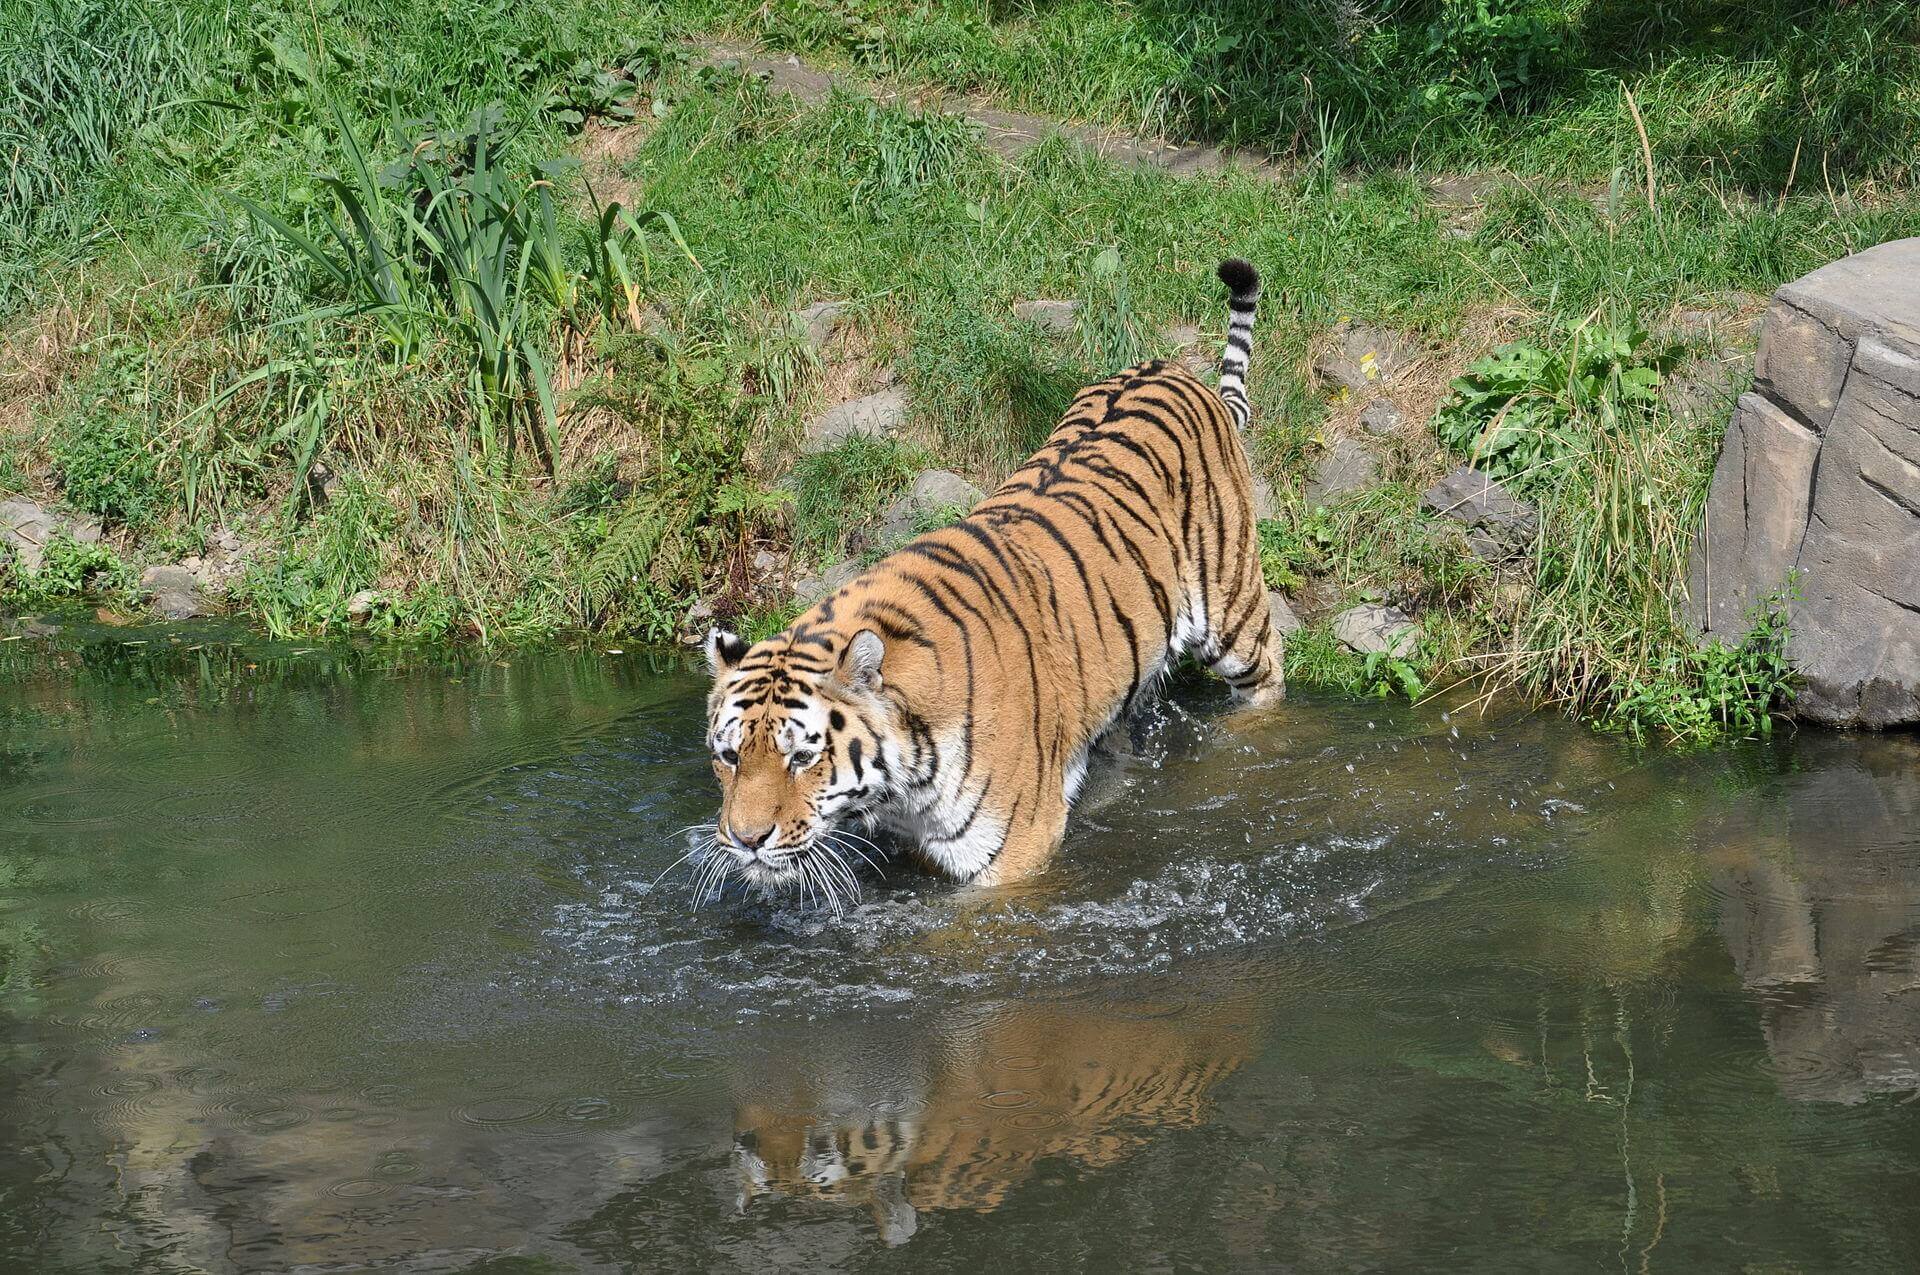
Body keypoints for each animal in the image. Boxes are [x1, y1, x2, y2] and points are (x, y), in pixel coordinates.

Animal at [702, 259, 1274, 894]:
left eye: (801, 758)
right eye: (730, 756)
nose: (746, 840)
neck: (902, 787)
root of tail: (1178, 372)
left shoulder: (1014, 852)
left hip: (1233, 614)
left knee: (1265, 677)